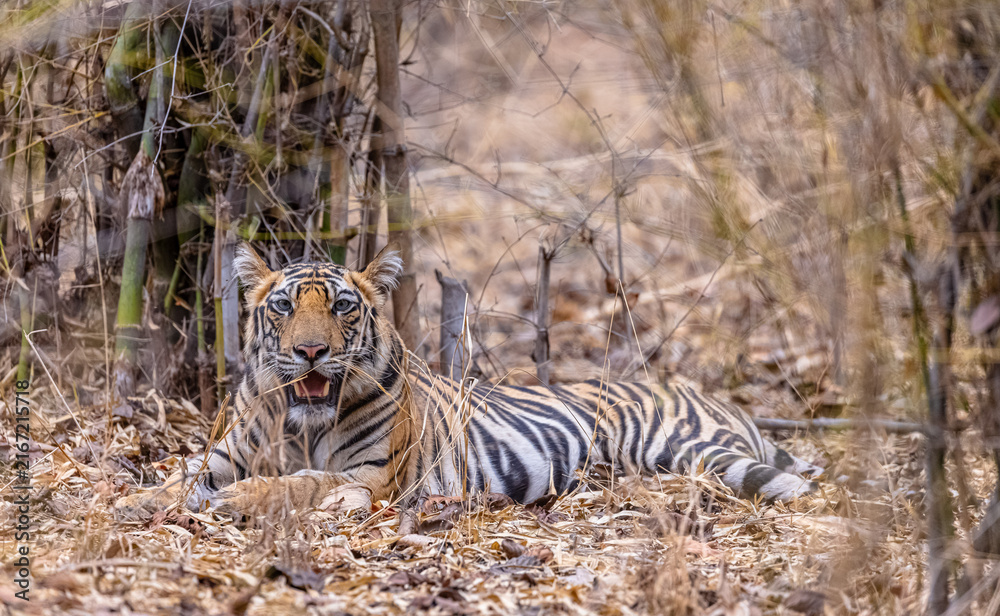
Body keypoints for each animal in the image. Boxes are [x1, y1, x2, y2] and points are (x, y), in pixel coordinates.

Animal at [116, 243, 822, 519]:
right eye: (284, 307)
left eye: (342, 307)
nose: (310, 351)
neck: (298, 419)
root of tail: (706, 393)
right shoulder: (222, 456)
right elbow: (180, 479)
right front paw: (129, 502)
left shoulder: (370, 476)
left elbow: (295, 483)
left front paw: (235, 502)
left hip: (690, 448)